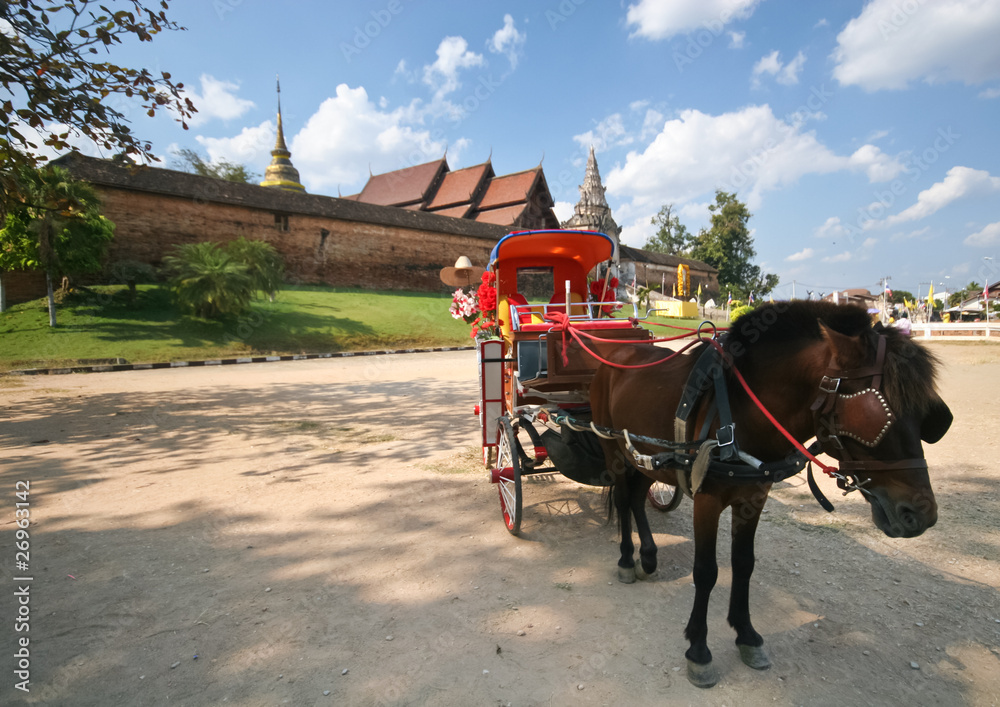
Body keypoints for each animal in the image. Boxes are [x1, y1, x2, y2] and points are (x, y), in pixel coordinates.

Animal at [592, 302, 952, 688]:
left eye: (928, 418)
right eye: (881, 419)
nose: (922, 513)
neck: (740, 412)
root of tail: (620, 353)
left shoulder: (754, 497)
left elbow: (744, 564)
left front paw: (746, 635)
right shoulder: (706, 499)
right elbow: (706, 571)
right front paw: (699, 650)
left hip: (650, 459)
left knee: (636, 498)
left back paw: (647, 556)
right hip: (614, 451)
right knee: (624, 500)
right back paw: (626, 559)